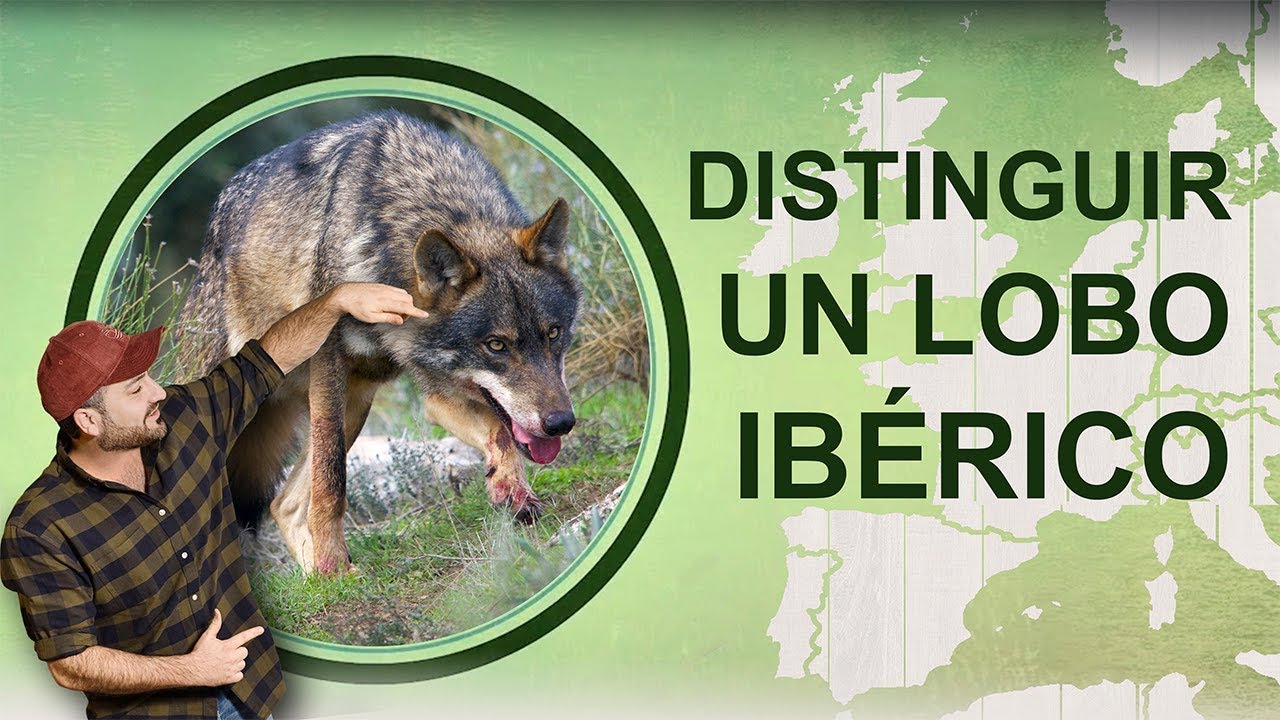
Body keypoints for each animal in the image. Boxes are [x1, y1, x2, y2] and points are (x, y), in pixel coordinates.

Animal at [176, 110, 580, 575]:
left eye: (554, 333)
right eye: (496, 345)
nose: (561, 423)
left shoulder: (436, 389)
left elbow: (499, 432)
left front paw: (512, 490)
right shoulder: (330, 364)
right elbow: (332, 483)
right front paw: (333, 563)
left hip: (356, 401)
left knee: (284, 504)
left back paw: (317, 579)